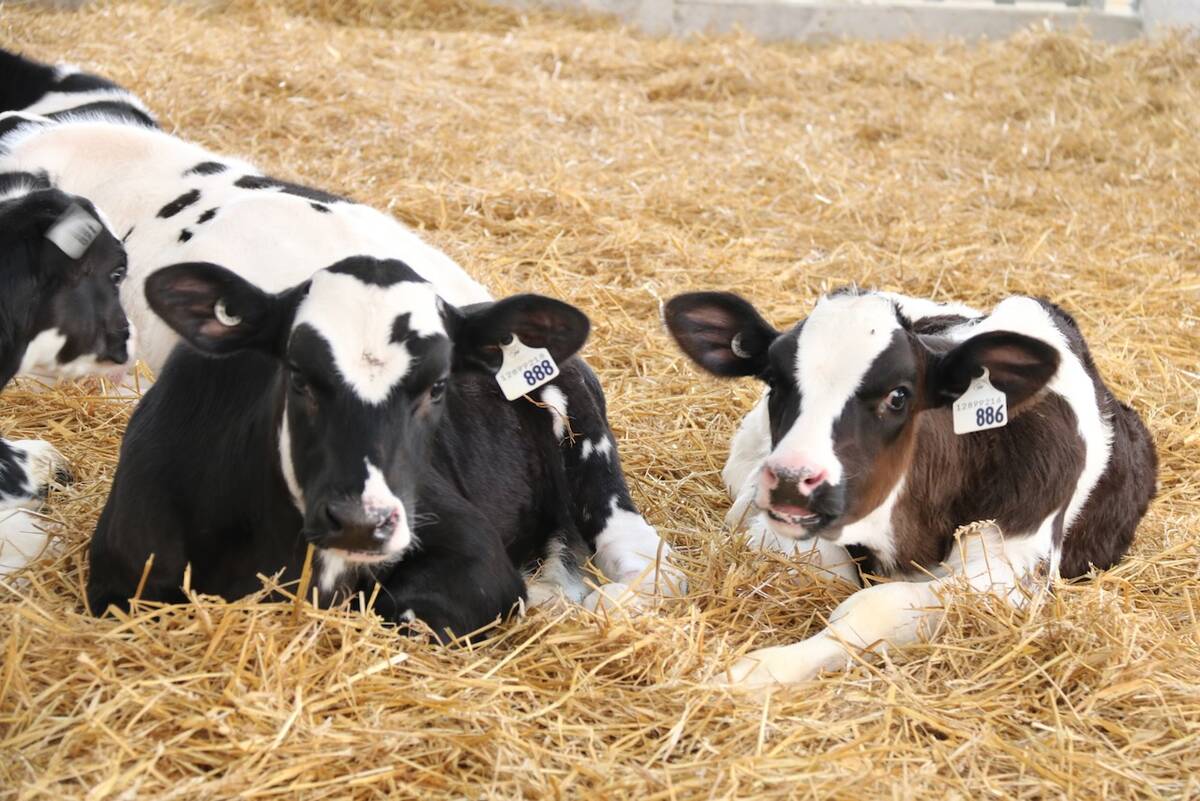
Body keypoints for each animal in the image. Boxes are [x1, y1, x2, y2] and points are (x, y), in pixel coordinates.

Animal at [665, 288, 1156, 686]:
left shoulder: (1012, 575)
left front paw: (756, 672)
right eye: (774, 381)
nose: (790, 479)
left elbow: (875, 606)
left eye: (899, 395)